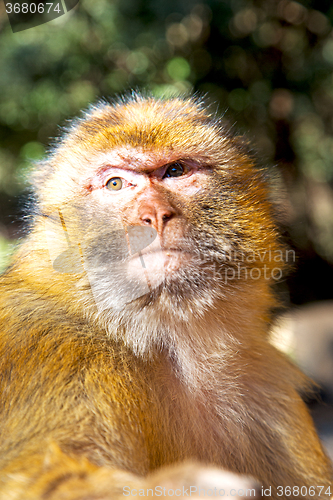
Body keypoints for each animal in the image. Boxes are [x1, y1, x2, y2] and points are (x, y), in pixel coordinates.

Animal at [0, 94, 330, 500]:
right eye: (115, 184)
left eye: (175, 170)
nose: (154, 214)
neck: (164, 335)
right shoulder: (59, 354)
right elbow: (42, 476)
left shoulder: (266, 390)